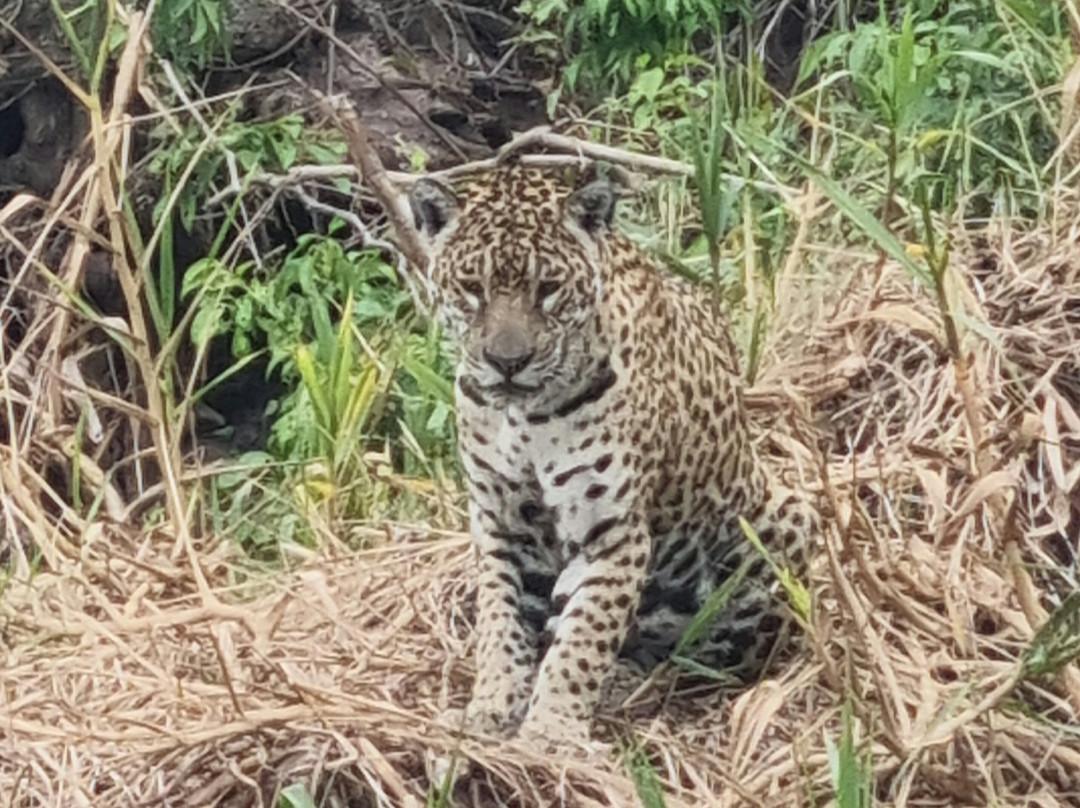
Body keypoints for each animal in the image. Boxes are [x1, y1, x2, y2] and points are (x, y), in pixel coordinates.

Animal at [408, 164, 817, 748]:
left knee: (704, 656)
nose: (507, 361)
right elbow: (499, 622)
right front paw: (492, 706)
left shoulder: (611, 530)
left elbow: (585, 640)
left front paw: (551, 731)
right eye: (472, 288)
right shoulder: (499, 523)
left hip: (782, 523)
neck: (524, 418)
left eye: (548, 289)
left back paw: (630, 682)